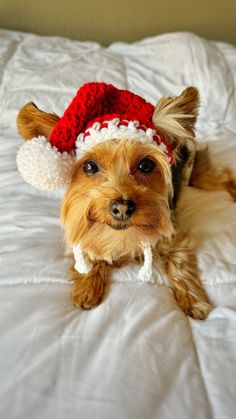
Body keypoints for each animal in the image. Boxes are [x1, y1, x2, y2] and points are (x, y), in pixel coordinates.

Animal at [16, 83, 236, 318]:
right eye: (90, 166)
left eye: (146, 165)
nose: (122, 207)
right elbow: (87, 253)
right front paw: (86, 288)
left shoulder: (172, 235)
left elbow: (180, 265)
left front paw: (194, 301)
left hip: (196, 172)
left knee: (222, 177)